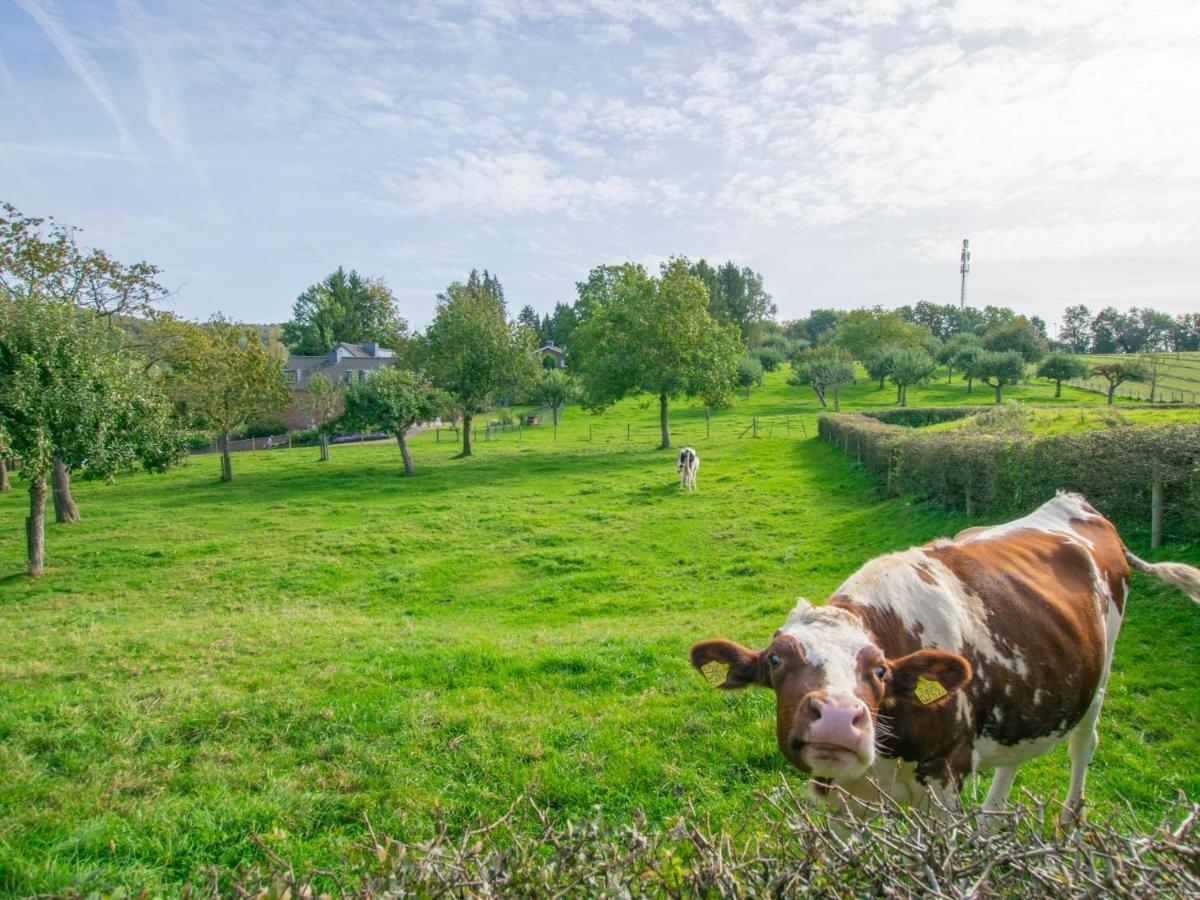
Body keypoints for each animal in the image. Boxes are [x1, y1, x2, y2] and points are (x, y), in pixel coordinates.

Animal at [691, 494, 1195, 825]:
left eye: (880, 670)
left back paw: (1070, 821)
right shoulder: (836, 795)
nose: (835, 718)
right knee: (1013, 759)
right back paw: (991, 823)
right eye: (776, 660)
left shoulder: (944, 783)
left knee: (1082, 745)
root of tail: (1078, 504)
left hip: (1099, 676)